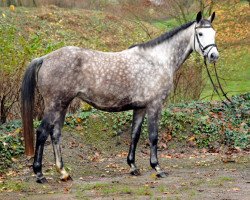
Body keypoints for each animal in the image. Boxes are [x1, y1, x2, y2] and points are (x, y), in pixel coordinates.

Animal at [21, 10, 218, 183]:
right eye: (200, 33)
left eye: (214, 33)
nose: (214, 55)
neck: (157, 60)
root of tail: (44, 58)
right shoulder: (155, 105)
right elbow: (153, 136)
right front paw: (157, 168)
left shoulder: (140, 107)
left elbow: (135, 135)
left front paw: (133, 167)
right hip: (54, 105)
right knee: (42, 133)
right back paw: (39, 174)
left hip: (62, 105)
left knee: (55, 134)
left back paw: (63, 172)